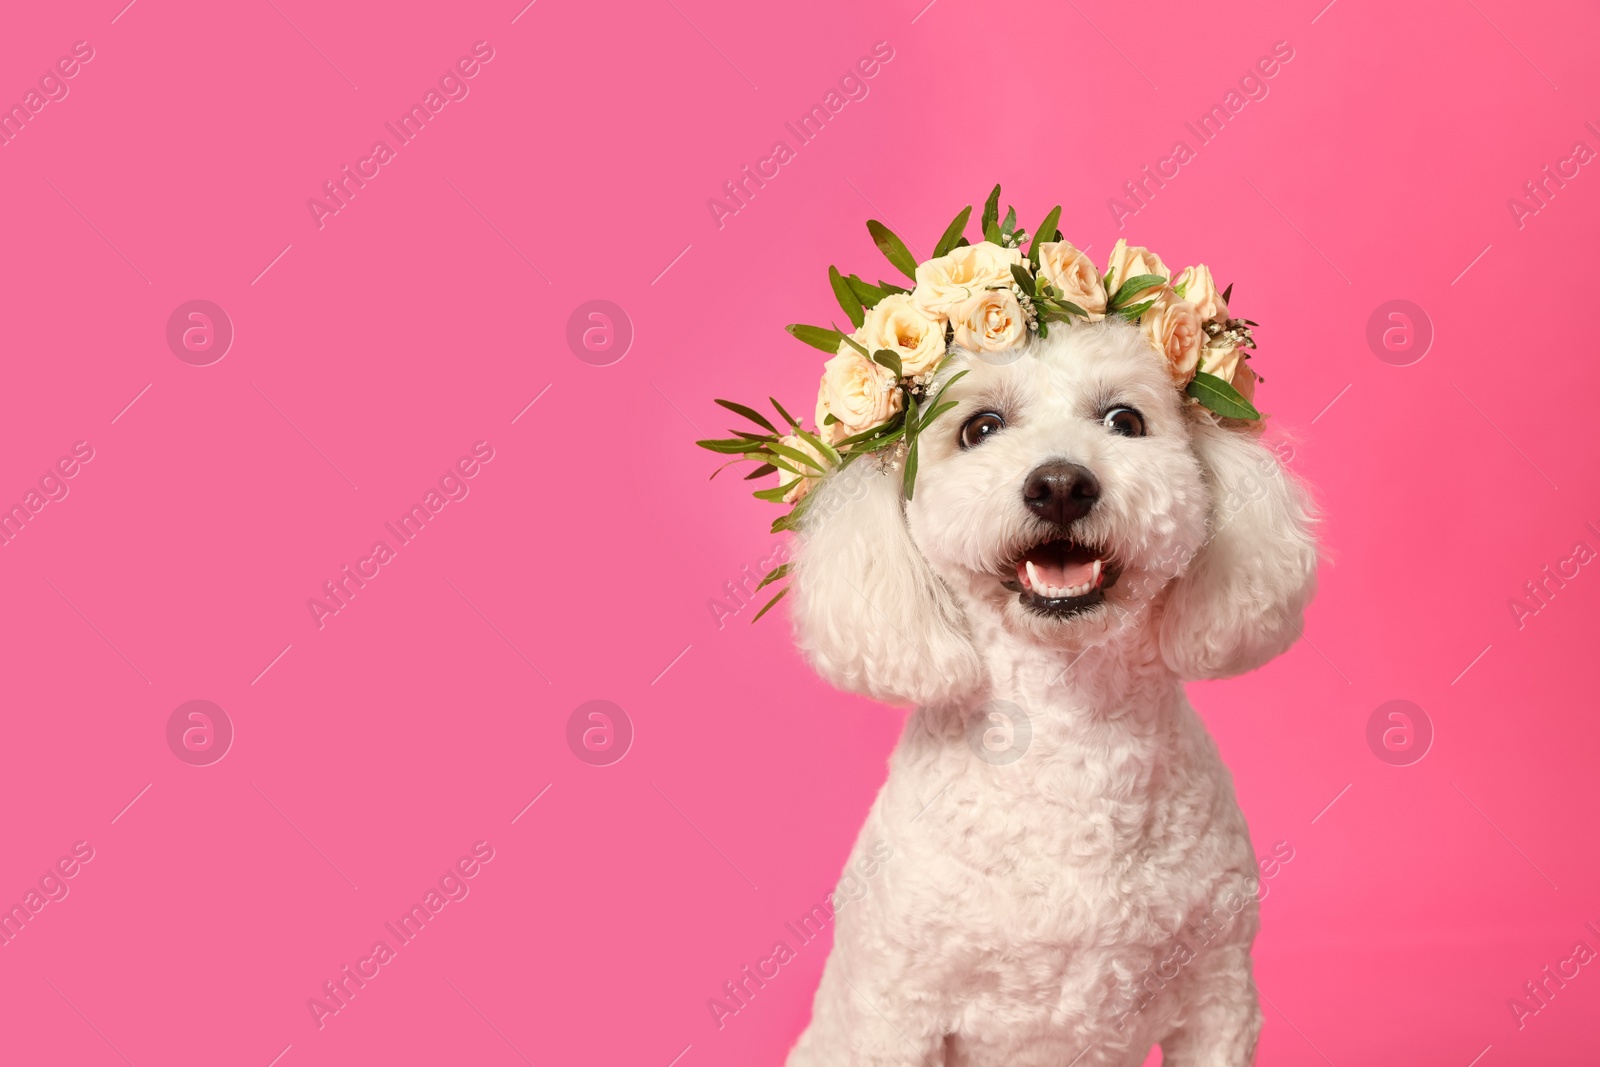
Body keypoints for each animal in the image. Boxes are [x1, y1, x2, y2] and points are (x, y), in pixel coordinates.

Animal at [780, 319, 1318, 1067]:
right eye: (981, 427)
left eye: (1125, 420)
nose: (1060, 485)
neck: (1070, 729)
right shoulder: (895, 1014)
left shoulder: (1220, 999)